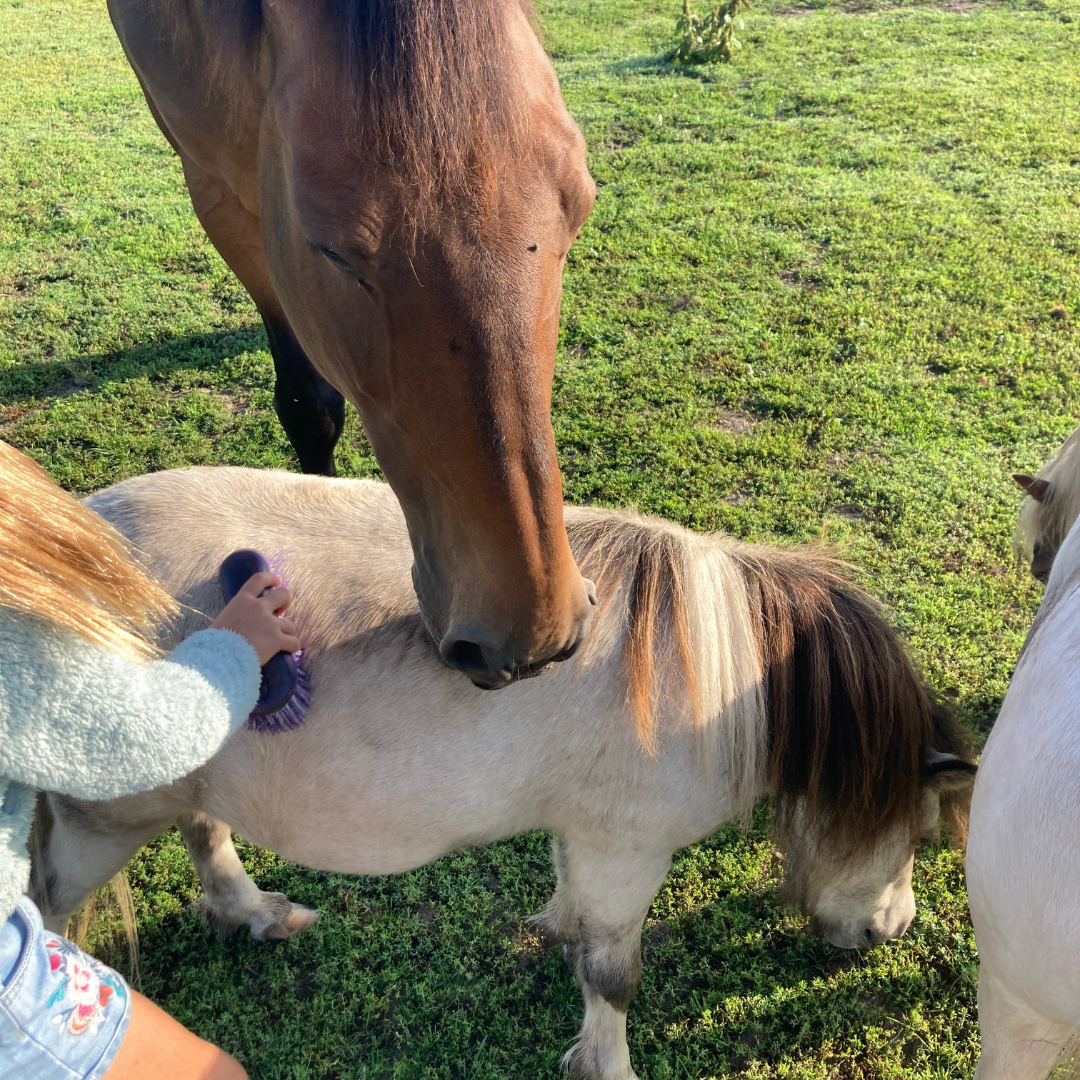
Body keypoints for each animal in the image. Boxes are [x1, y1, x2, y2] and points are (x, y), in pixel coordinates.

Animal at [36, 467, 976, 1080]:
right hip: (100, 819)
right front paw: (606, 1063)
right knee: (49, 897)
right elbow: (615, 975)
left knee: (204, 828)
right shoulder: (628, 851)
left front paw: (558, 931)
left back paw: (254, 914)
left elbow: (574, 912)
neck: (728, 676)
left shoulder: (589, 836)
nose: (891, 930)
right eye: (920, 832)